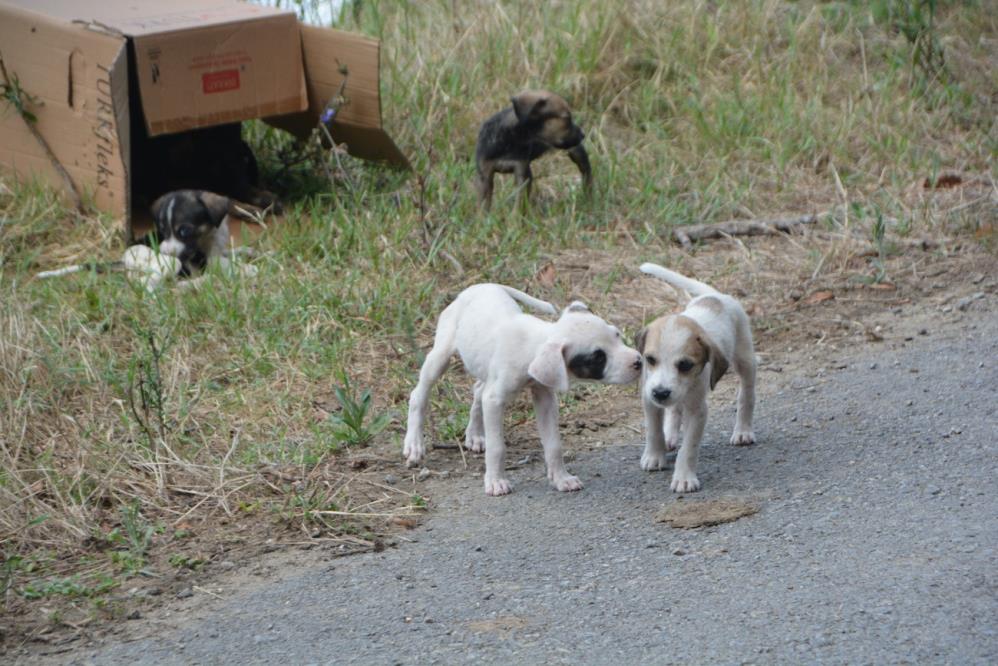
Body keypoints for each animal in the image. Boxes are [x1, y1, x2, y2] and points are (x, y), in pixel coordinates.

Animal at [402, 282, 644, 496]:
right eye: (598, 358)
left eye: (617, 335)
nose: (639, 361)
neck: (533, 344)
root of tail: (480, 285)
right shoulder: (495, 400)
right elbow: (497, 447)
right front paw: (496, 482)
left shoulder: (545, 397)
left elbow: (554, 444)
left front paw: (561, 478)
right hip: (441, 355)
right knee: (418, 394)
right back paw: (414, 443)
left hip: (483, 369)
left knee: (478, 389)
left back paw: (475, 434)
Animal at [640, 262, 756, 490]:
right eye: (650, 359)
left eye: (685, 365)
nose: (660, 393)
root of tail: (715, 296)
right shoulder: (649, 397)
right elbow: (653, 430)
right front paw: (654, 456)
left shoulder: (697, 411)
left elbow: (689, 448)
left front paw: (684, 478)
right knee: (674, 409)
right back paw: (670, 436)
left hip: (746, 359)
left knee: (746, 396)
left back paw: (743, 431)